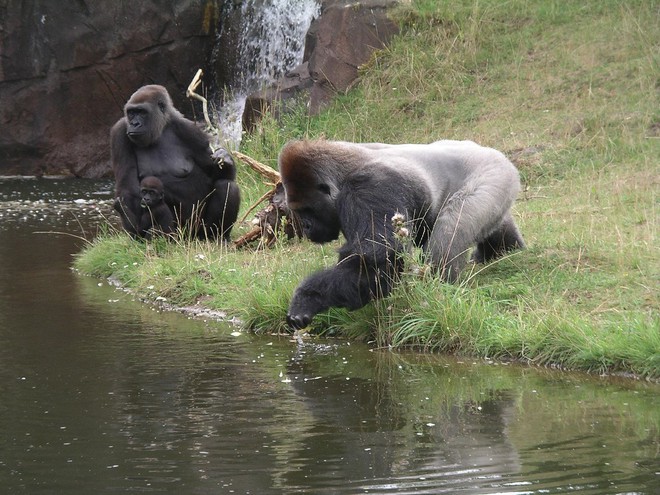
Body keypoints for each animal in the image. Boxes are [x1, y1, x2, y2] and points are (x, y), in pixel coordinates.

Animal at [111, 85, 240, 240]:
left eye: (141, 112)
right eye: (131, 113)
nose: (134, 124)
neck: (161, 128)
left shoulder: (191, 131)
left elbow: (215, 176)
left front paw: (225, 159)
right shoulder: (119, 132)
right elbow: (128, 188)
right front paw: (132, 226)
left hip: (198, 230)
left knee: (227, 186)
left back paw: (218, 237)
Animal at [280, 140, 524, 330]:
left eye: (307, 209)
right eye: (298, 211)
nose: (306, 227)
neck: (343, 173)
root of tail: (493, 152)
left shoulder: (370, 188)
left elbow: (379, 261)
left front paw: (308, 298)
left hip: (493, 174)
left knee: (450, 230)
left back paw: (439, 287)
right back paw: (506, 249)